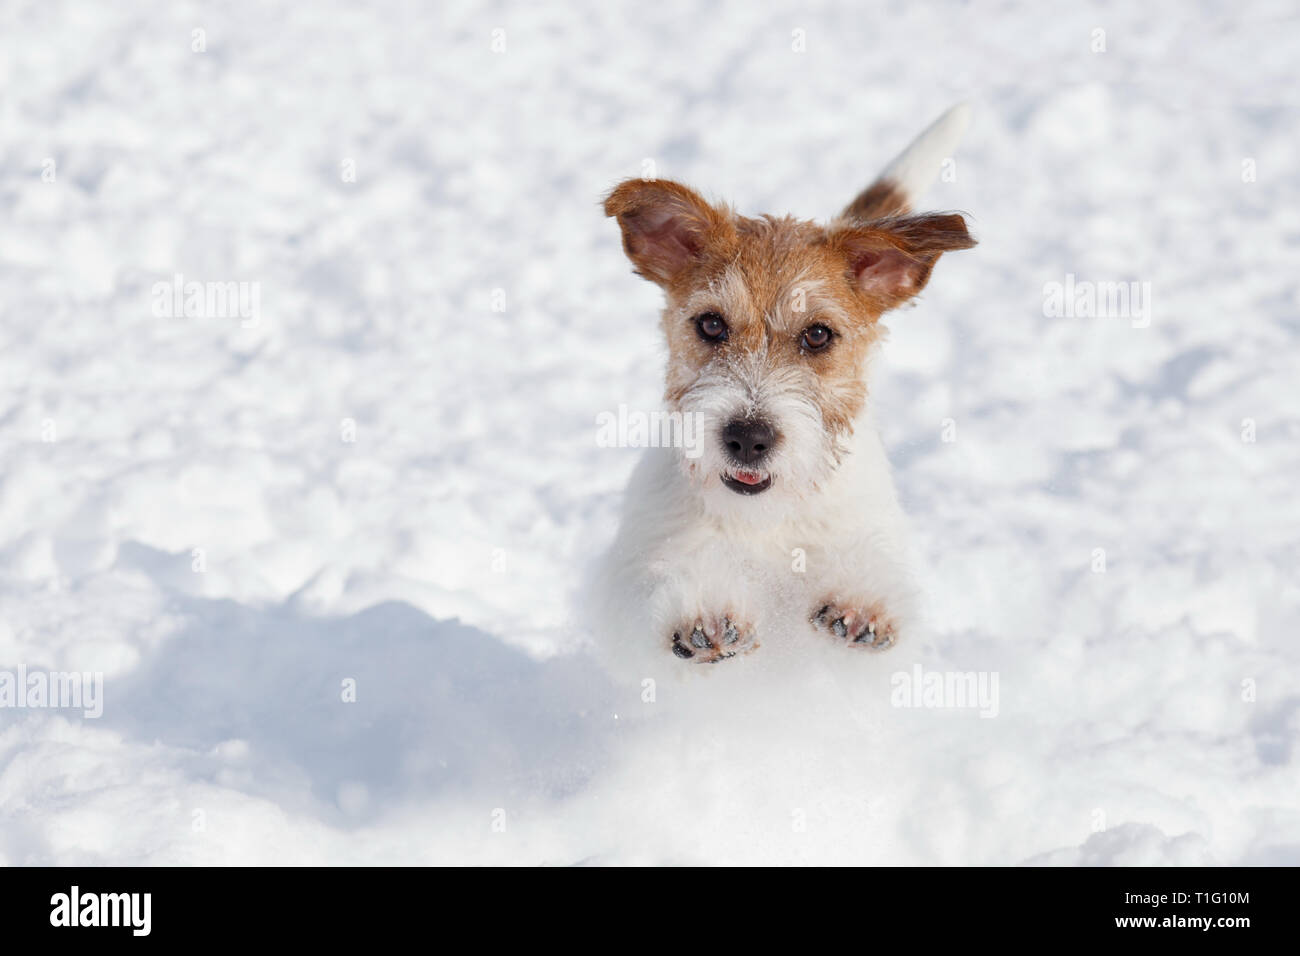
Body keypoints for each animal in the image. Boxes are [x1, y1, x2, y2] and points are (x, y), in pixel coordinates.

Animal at [595, 106, 972, 665]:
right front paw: (705, 611)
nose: (749, 439)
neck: (767, 518)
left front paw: (861, 603)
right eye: (711, 324)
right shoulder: (632, 572)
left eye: (817, 335)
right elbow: (665, 576)